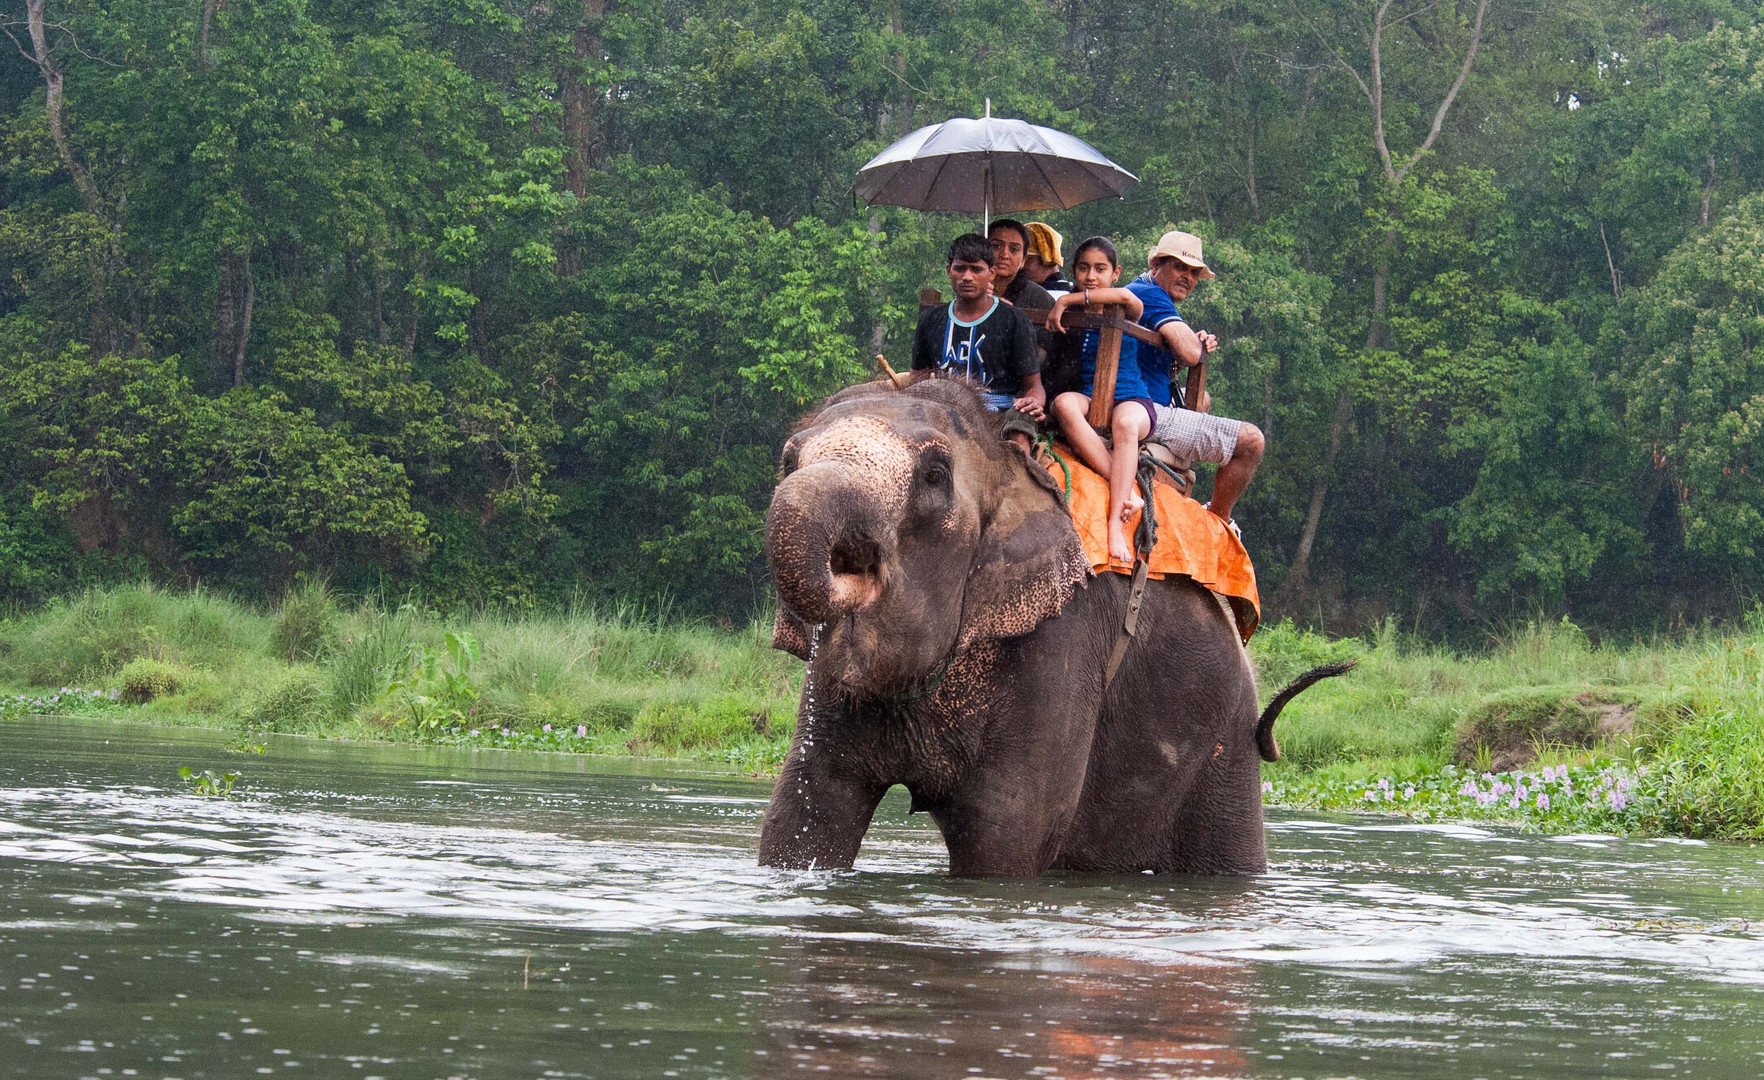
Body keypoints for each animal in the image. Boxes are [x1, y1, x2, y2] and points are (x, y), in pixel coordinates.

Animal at [758, 379, 1347, 878]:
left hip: (1226, 737)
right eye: (787, 460)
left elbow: (1007, 825)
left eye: (934, 475)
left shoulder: (1065, 634)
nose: (850, 563)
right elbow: (809, 804)